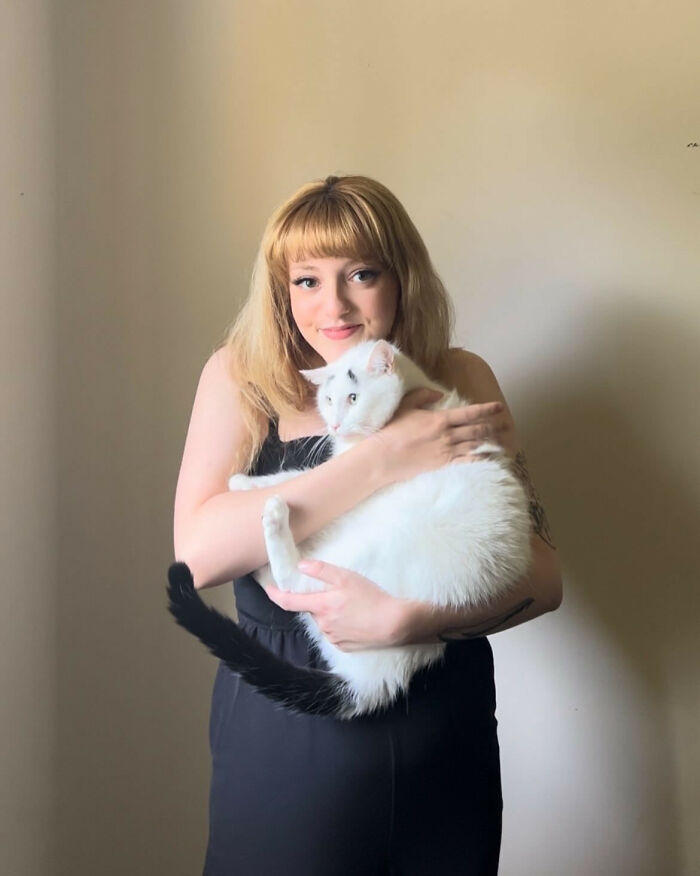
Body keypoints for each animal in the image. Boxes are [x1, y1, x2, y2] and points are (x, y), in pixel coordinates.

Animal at [170, 338, 532, 720]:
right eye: (328, 399)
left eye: (354, 398)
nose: (335, 426)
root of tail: (380, 677)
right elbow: (301, 475)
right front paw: (245, 483)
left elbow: (299, 475)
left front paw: (245, 485)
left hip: (371, 548)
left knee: (294, 581)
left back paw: (274, 518)